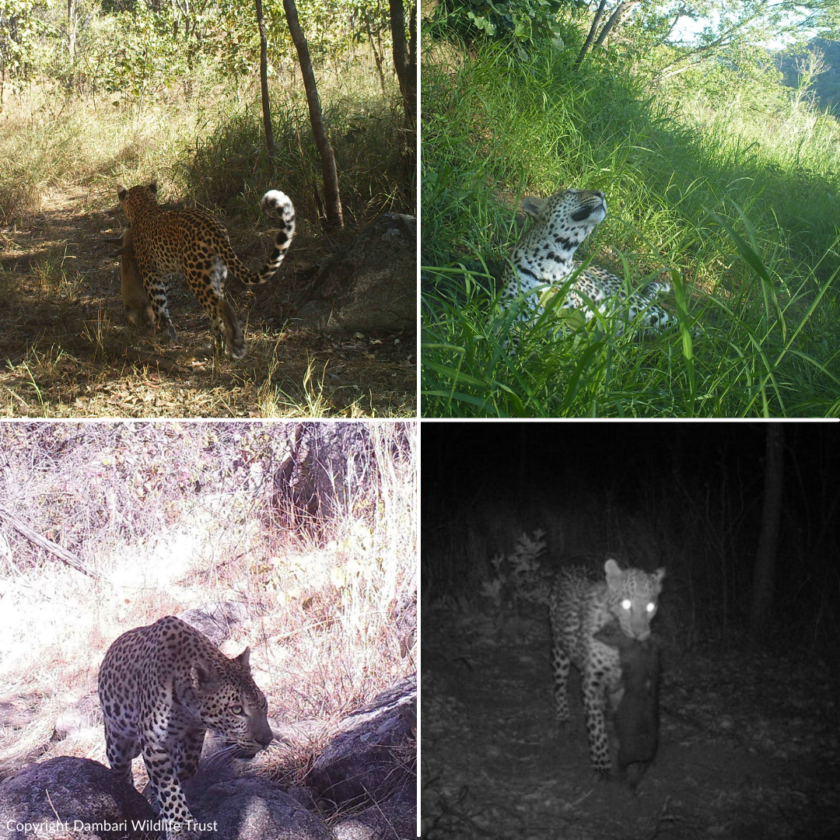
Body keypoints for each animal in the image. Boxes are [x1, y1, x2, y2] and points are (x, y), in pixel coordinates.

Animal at [97, 612, 272, 836]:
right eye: (236, 710)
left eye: (263, 704)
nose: (267, 740)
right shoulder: (153, 742)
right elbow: (168, 786)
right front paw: (181, 825)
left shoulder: (195, 733)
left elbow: (187, 766)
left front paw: (160, 800)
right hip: (117, 745)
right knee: (121, 772)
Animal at [116, 181, 296, 358]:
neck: (144, 207)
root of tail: (214, 228)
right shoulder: (165, 277)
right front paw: (169, 334)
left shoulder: (151, 278)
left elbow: (159, 308)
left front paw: (161, 335)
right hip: (217, 276)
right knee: (217, 312)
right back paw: (218, 348)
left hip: (196, 276)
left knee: (222, 305)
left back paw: (235, 344)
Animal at [502, 187, 680, 344]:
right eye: (571, 192)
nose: (602, 193)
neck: (555, 262)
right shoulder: (511, 310)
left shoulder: (571, 317)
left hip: (643, 309)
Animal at [548, 556, 668, 780]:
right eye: (626, 604)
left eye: (650, 606)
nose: (640, 634)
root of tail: (572, 564)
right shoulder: (593, 683)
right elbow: (597, 729)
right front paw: (602, 764)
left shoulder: (625, 685)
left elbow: (625, 718)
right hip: (559, 650)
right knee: (559, 686)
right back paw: (562, 717)